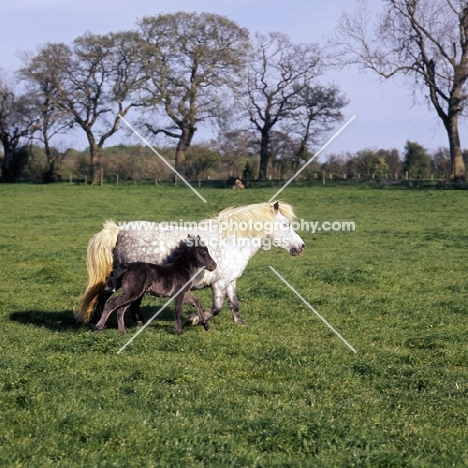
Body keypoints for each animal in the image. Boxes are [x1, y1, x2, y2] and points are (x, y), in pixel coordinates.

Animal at [75, 200, 306, 326]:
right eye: (286, 224)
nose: (301, 247)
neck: (231, 240)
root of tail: (119, 231)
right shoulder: (219, 284)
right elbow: (216, 308)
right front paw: (194, 320)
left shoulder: (230, 282)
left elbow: (234, 303)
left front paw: (240, 323)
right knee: (106, 295)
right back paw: (96, 320)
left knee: (131, 303)